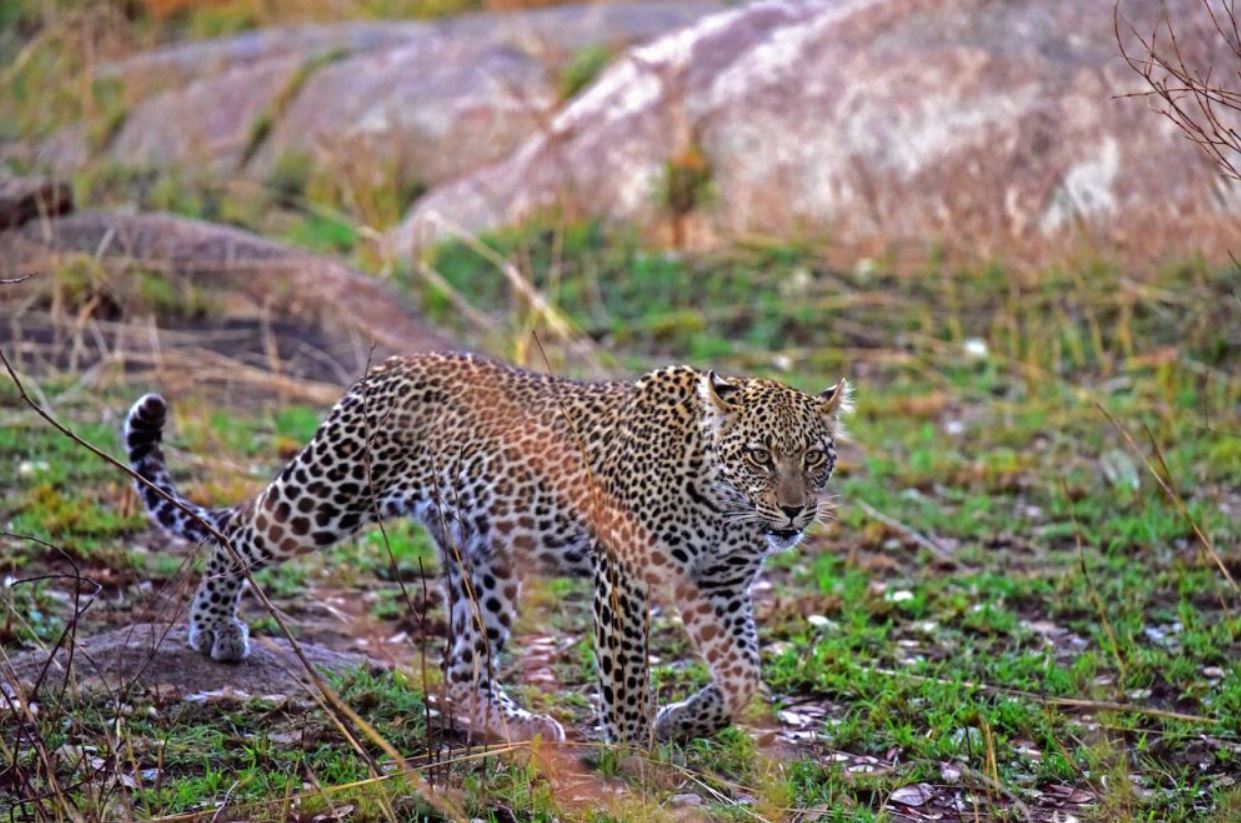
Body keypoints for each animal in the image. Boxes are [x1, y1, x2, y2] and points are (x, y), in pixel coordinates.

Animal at [123, 351, 850, 745]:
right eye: (760, 456)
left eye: (815, 458)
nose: (795, 510)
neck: (728, 509)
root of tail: (385, 367)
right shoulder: (623, 575)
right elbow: (624, 675)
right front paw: (633, 749)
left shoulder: (720, 585)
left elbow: (745, 677)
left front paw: (679, 720)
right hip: (327, 495)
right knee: (237, 532)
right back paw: (214, 628)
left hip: (486, 557)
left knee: (461, 670)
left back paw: (515, 724)